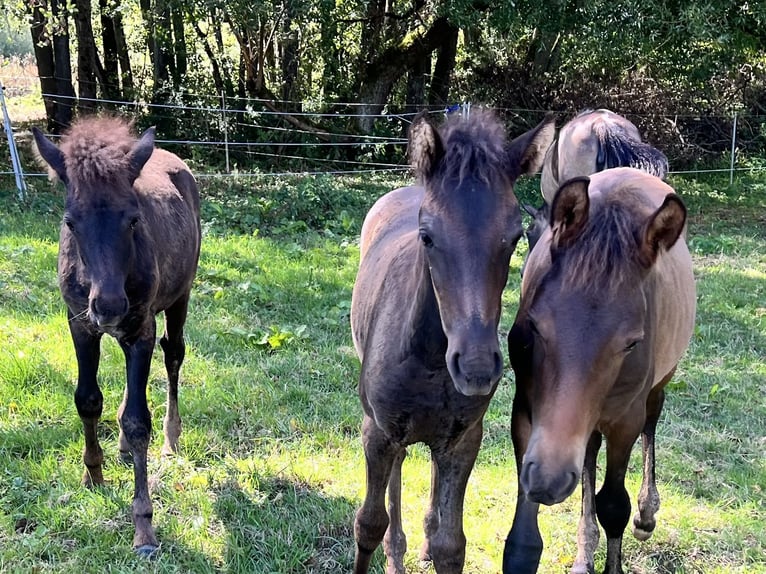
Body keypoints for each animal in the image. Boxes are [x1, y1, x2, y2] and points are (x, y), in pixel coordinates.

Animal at [32, 116, 201, 556]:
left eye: (134, 219)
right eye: (70, 222)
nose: (108, 306)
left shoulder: (141, 328)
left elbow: (138, 420)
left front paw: (144, 527)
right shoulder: (80, 324)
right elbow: (88, 399)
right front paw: (93, 474)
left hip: (179, 297)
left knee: (173, 355)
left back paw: (171, 438)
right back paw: (122, 449)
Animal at [350, 109, 554, 574]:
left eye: (515, 236)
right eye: (427, 236)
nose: (476, 368)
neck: (427, 360)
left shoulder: (463, 441)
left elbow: (451, 545)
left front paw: (433, 543)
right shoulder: (377, 432)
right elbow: (368, 522)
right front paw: (387, 546)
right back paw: (397, 551)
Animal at [503, 168, 696, 574]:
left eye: (632, 343)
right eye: (535, 326)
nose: (550, 479)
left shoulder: (624, 421)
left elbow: (613, 505)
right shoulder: (527, 411)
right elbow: (523, 543)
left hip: (660, 382)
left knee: (653, 418)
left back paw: (646, 514)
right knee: (589, 450)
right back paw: (584, 549)